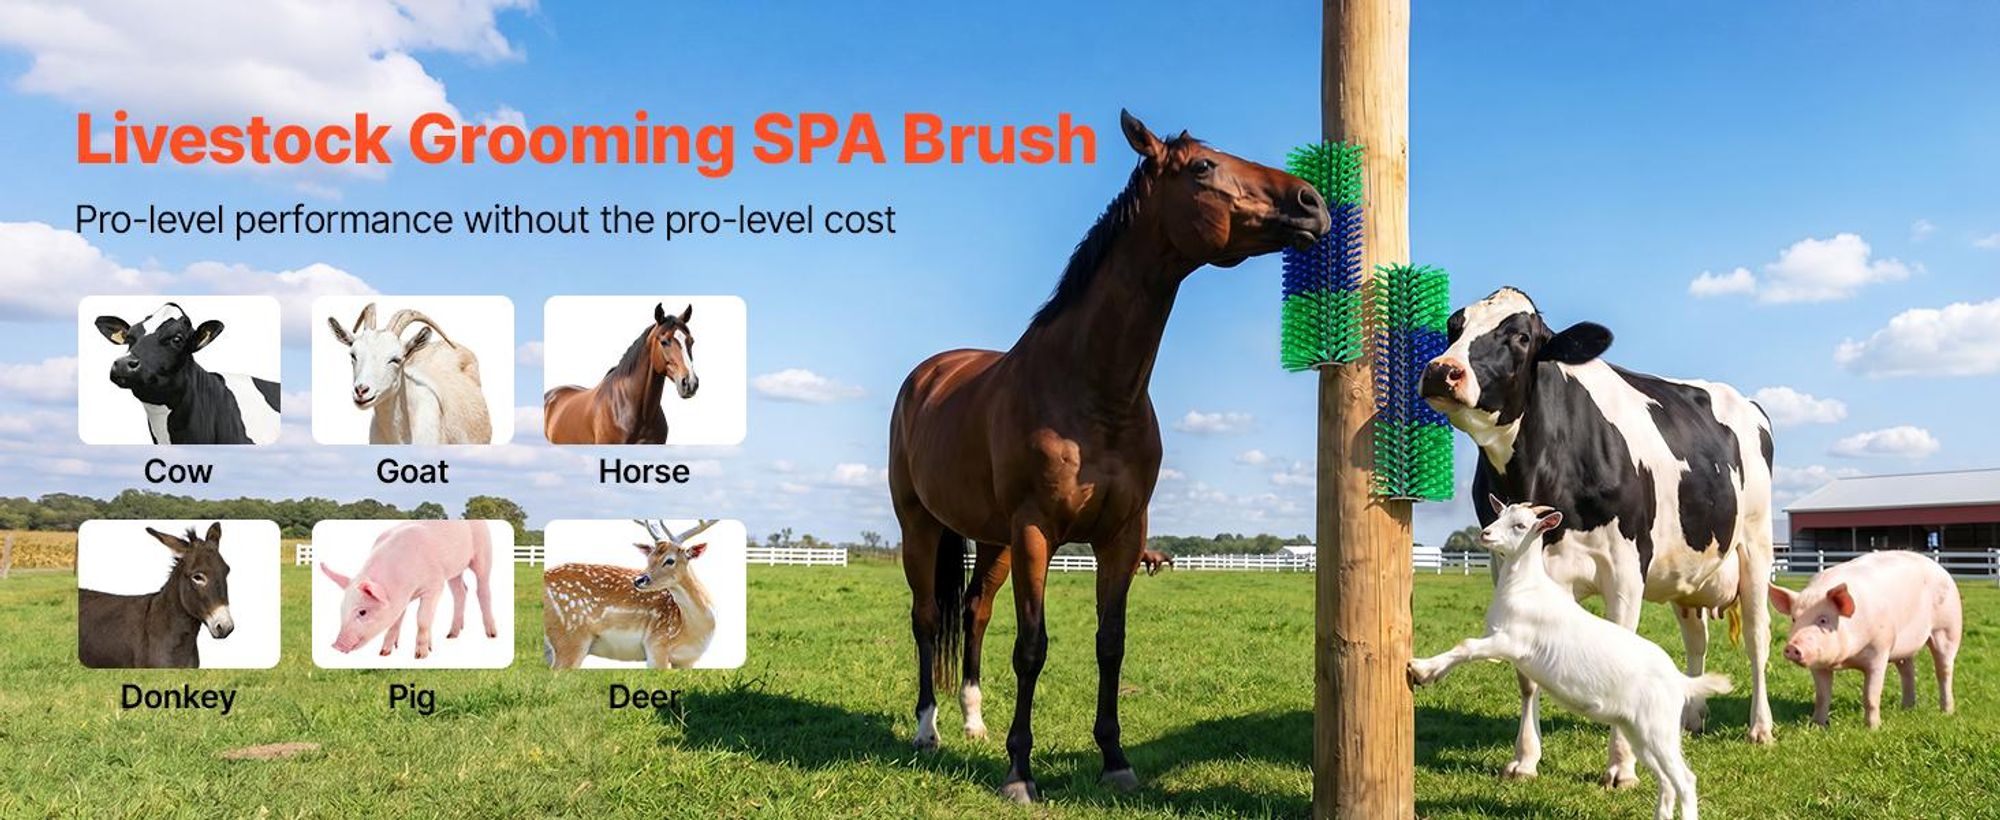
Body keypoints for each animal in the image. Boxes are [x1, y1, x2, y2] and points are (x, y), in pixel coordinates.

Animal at [889, 110, 1329, 802]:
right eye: (1203, 166)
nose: (1313, 204)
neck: (1092, 391)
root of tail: (927, 374)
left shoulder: (1123, 534)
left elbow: (1110, 644)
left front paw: (1115, 760)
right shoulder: (1037, 531)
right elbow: (1032, 647)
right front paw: (1020, 773)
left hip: (992, 540)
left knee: (975, 613)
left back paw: (973, 721)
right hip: (922, 527)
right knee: (929, 618)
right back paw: (927, 730)